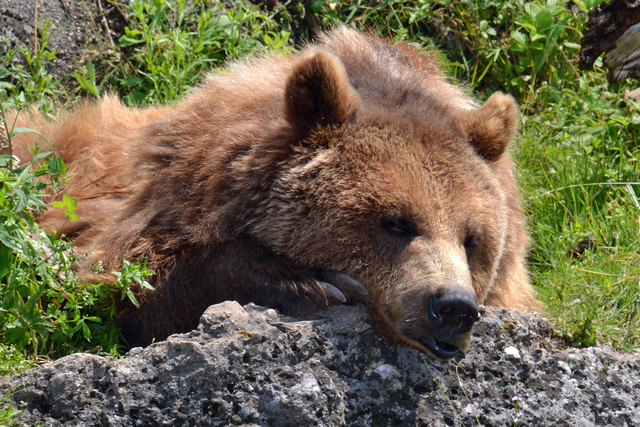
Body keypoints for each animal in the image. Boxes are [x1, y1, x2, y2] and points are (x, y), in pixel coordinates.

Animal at [10, 27, 540, 358]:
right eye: (395, 222)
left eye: (473, 239)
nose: (453, 307)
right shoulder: (159, 200)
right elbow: (129, 281)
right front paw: (313, 282)